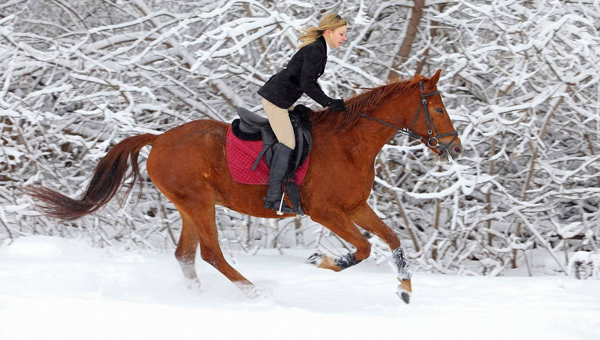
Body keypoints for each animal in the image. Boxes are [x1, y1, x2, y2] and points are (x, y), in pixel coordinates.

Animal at [25, 70, 462, 304]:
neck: (350, 144)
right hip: (199, 202)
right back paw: (256, 294)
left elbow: (391, 239)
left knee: (186, 256)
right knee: (211, 254)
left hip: (190, 205)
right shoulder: (325, 211)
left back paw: (199, 299)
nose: (455, 147)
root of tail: (159, 138)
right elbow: (365, 247)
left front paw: (405, 288)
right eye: (438, 108)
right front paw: (320, 261)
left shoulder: (354, 207)